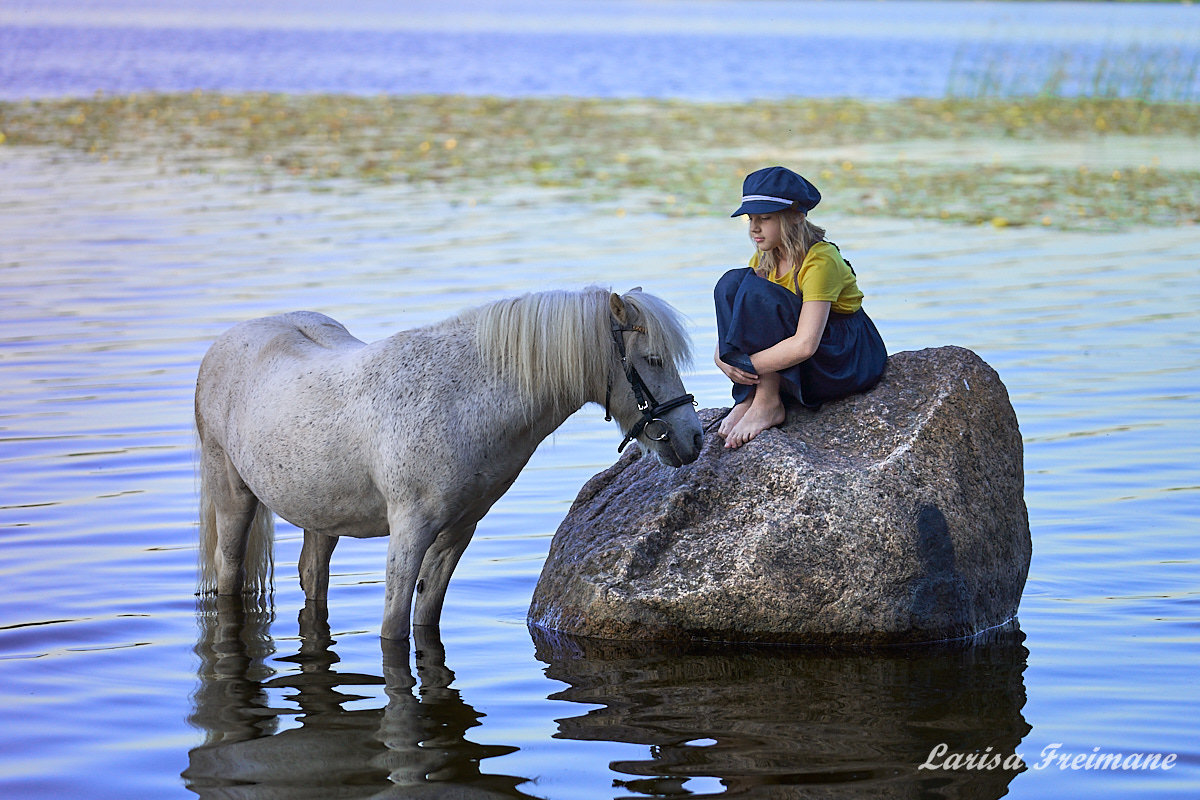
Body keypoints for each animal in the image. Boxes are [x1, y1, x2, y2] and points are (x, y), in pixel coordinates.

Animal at [194, 286, 700, 638]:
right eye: (653, 358)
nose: (691, 438)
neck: (460, 400)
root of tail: (227, 341)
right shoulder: (409, 531)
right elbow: (393, 627)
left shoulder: (458, 531)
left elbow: (425, 619)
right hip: (233, 495)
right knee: (230, 568)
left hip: (320, 516)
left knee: (313, 576)